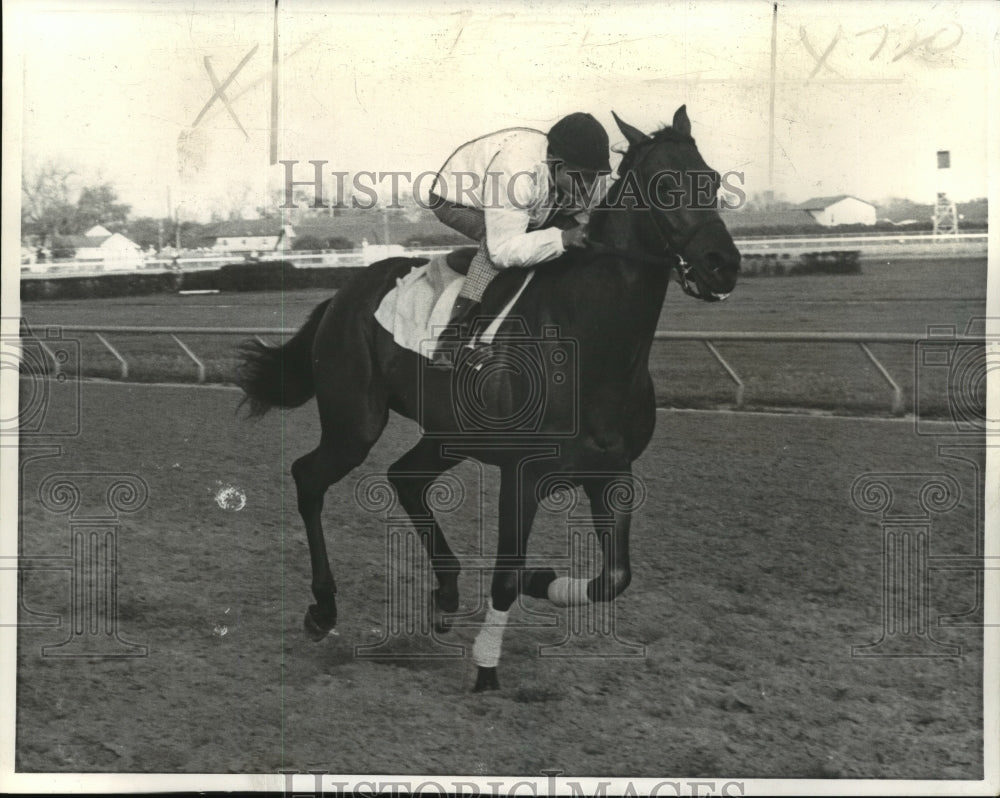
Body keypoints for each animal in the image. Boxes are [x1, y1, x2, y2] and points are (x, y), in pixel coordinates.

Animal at [232, 108, 736, 692]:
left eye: (714, 180)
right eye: (664, 185)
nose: (724, 264)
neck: (592, 346)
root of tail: (341, 295)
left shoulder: (612, 471)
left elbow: (614, 577)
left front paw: (544, 581)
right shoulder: (522, 475)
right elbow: (506, 577)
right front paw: (487, 670)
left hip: (446, 434)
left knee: (405, 478)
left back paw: (446, 592)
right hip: (354, 422)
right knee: (310, 477)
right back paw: (323, 607)